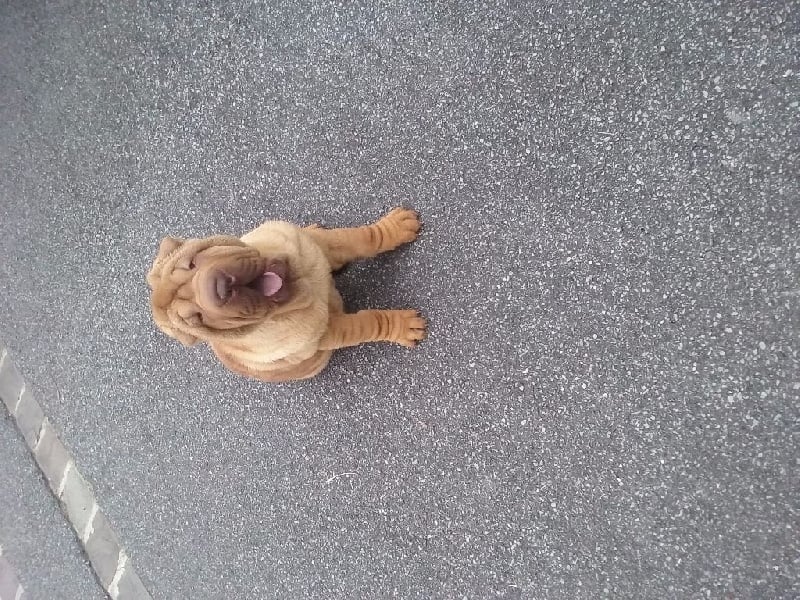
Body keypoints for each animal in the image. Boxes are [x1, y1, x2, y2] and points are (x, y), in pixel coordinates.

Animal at [146, 207, 426, 382]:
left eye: (192, 263)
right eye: (197, 319)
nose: (220, 287)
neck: (301, 282)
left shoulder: (322, 244)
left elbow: (359, 238)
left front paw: (395, 228)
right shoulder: (328, 332)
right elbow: (367, 323)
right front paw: (402, 326)